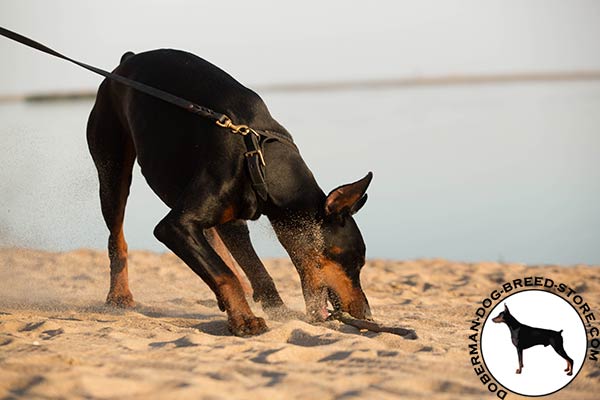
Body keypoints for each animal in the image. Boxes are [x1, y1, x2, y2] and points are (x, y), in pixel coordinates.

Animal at [86, 50, 372, 336]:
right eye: (354, 260)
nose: (367, 314)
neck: (263, 160)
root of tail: (127, 60)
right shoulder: (175, 226)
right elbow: (224, 275)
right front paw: (245, 320)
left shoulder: (235, 218)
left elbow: (254, 269)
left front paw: (274, 309)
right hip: (112, 170)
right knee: (117, 236)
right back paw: (119, 295)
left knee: (214, 240)